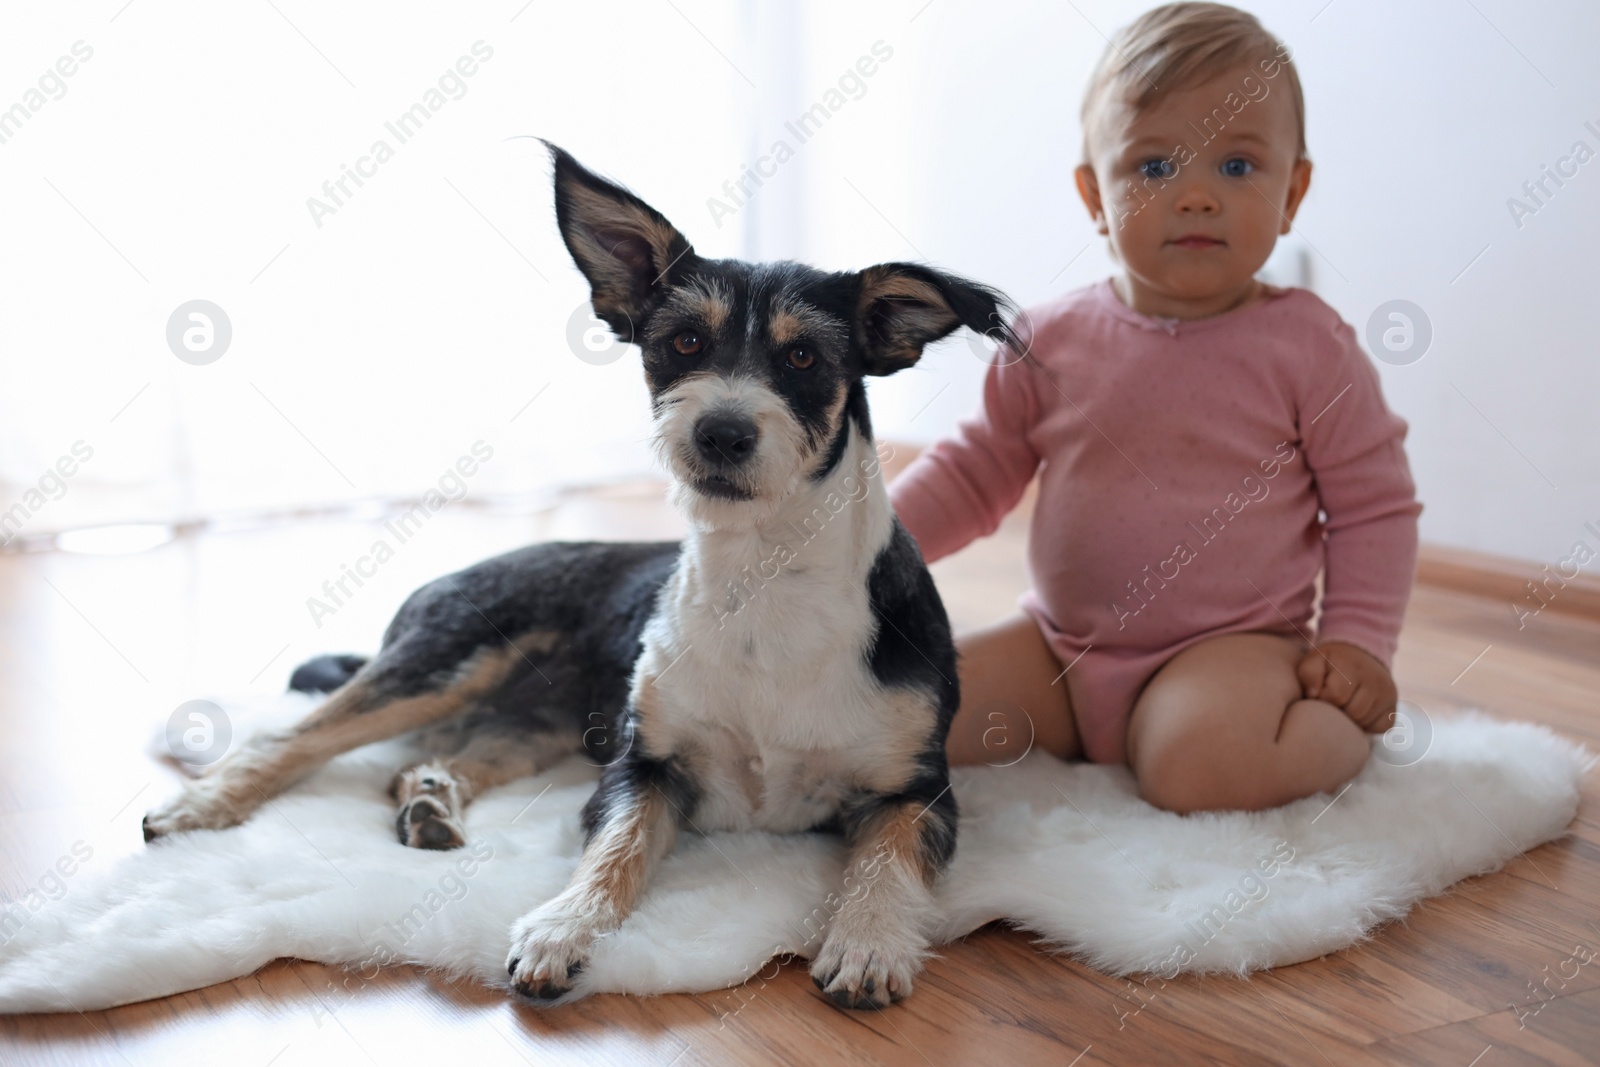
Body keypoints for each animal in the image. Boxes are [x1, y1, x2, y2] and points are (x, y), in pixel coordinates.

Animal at [147, 143, 1024, 1011]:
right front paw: (560, 928)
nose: (722, 432)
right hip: (444, 661)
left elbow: (885, 859)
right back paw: (200, 803)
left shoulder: (917, 788)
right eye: (683, 343)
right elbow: (616, 848)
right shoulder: (642, 768)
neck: (764, 582)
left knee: (425, 756)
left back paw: (428, 798)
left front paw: (869, 942)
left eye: (804, 355)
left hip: (536, 720)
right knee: (298, 734)